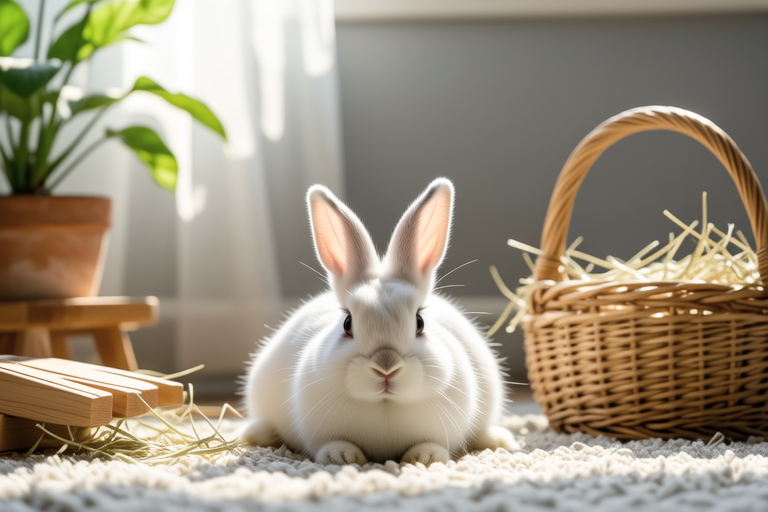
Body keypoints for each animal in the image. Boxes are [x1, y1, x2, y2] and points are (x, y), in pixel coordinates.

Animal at [240, 177, 515, 465]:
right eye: (347, 323)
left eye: (420, 322)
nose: (386, 368)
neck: (385, 405)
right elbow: (328, 443)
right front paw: (342, 457)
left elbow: (435, 443)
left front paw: (424, 457)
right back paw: (255, 435)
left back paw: (498, 439)